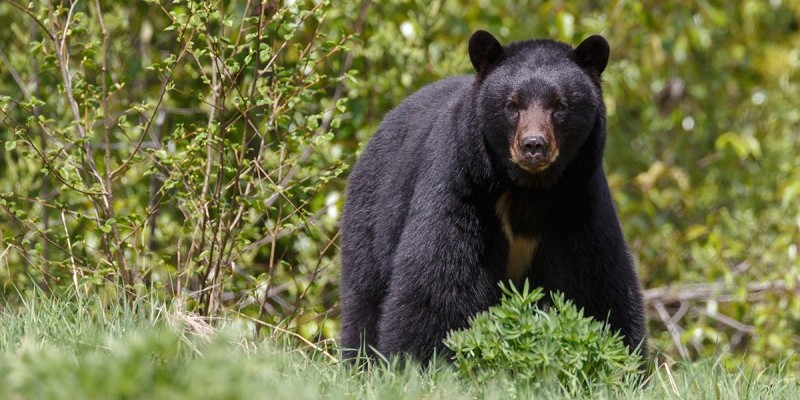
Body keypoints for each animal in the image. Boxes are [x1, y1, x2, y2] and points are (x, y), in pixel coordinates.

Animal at [338, 30, 644, 362]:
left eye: (560, 105)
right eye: (512, 104)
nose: (533, 145)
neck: (528, 189)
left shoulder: (577, 202)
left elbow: (595, 283)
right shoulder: (462, 185)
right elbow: (439, 279)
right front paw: (418, 360)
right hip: (372, 214)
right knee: (364, 296)